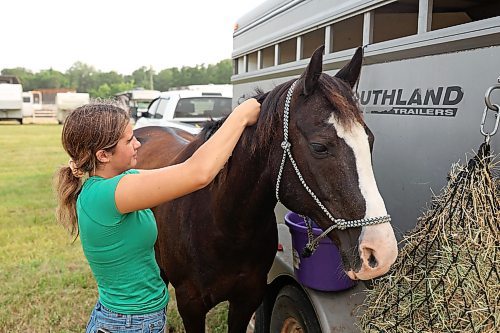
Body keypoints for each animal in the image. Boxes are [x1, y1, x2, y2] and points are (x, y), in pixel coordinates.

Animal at [134, 46, 398, 332]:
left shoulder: (247, 299)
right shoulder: (191, 305)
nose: (381, 251)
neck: (223, 223)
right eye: (319, 147)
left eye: (370, 140)